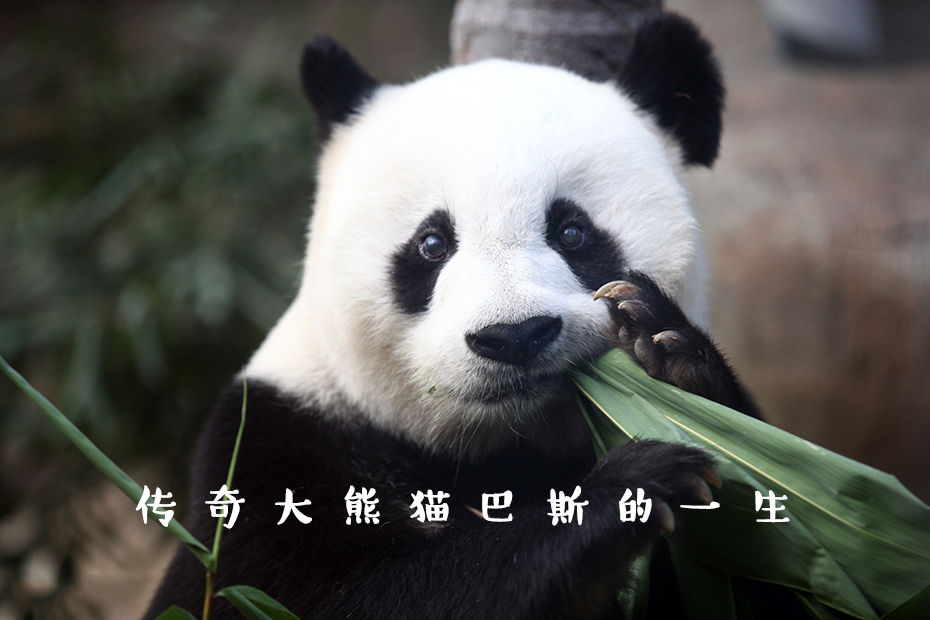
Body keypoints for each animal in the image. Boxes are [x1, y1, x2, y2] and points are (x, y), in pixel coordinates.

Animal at [143, 12, 802, 620]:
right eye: (432, 244)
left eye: (572, 231)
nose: (514, 337)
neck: (507, 450)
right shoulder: (275, 453)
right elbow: (347, 598)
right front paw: (630, 490)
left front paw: (670, 353)